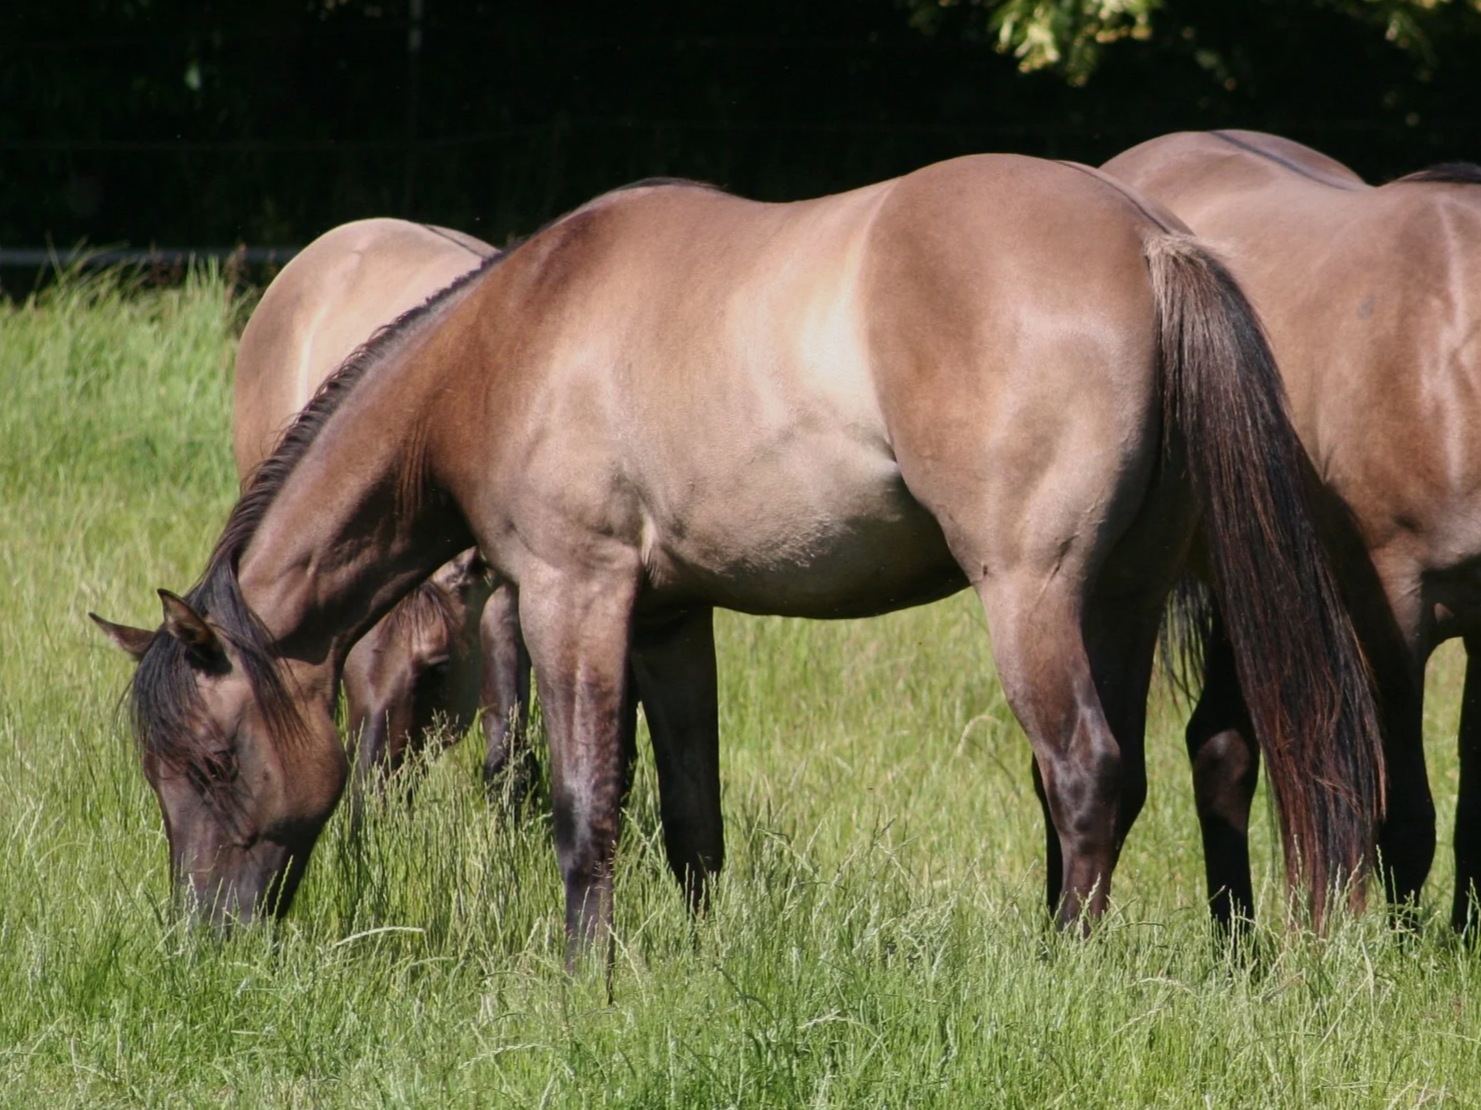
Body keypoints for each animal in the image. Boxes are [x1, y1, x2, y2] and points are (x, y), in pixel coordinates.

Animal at [92, 156, 1382, 958]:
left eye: (209, 763)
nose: (204, 940)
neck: (507, 345)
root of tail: (1151, 242)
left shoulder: (572, 595)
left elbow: (585, 805)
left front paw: (585, 980)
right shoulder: (670, 617)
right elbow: (691, 817)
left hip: (1033, 597)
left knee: (1084, 777)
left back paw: (1060, 968)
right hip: (1117, 597)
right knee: (1113, 780)